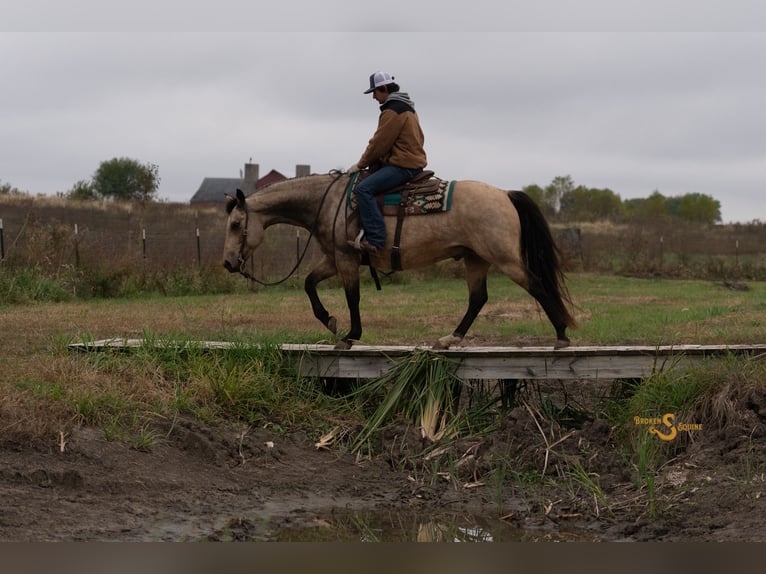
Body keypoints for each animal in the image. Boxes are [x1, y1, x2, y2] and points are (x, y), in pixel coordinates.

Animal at [222, 171, 576, 350]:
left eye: (236, 224)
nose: (227, 263)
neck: (329, 201)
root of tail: (504, 193)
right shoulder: (334, 258)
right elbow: (309, 284)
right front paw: (330, 321)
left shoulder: (346, 259)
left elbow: (352, 296)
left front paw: (350, 335)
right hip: (476, 259)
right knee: (478, 298)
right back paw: (450, 338)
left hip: (503, 258)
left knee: (536, 284)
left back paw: (561, 334)